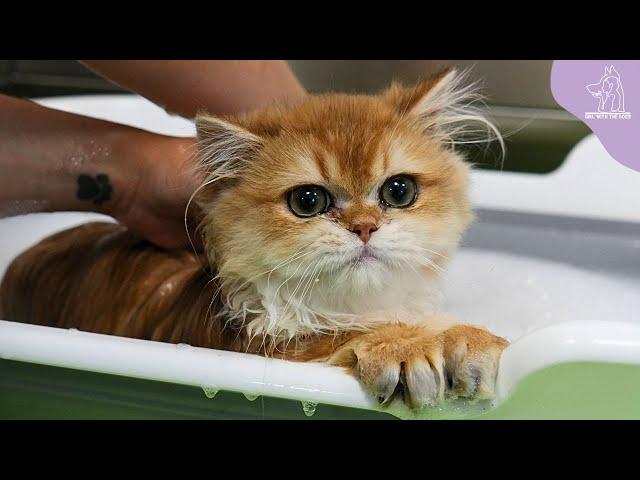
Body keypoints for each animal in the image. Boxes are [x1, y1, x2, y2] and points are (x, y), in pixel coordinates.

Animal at [1, 69, 510, 408]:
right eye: (308, 200)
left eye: (398, 191)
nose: (364, 227)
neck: (352, 305)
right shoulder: (256, 345)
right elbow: (341, 335)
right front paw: (415, 345)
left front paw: (462, 338)